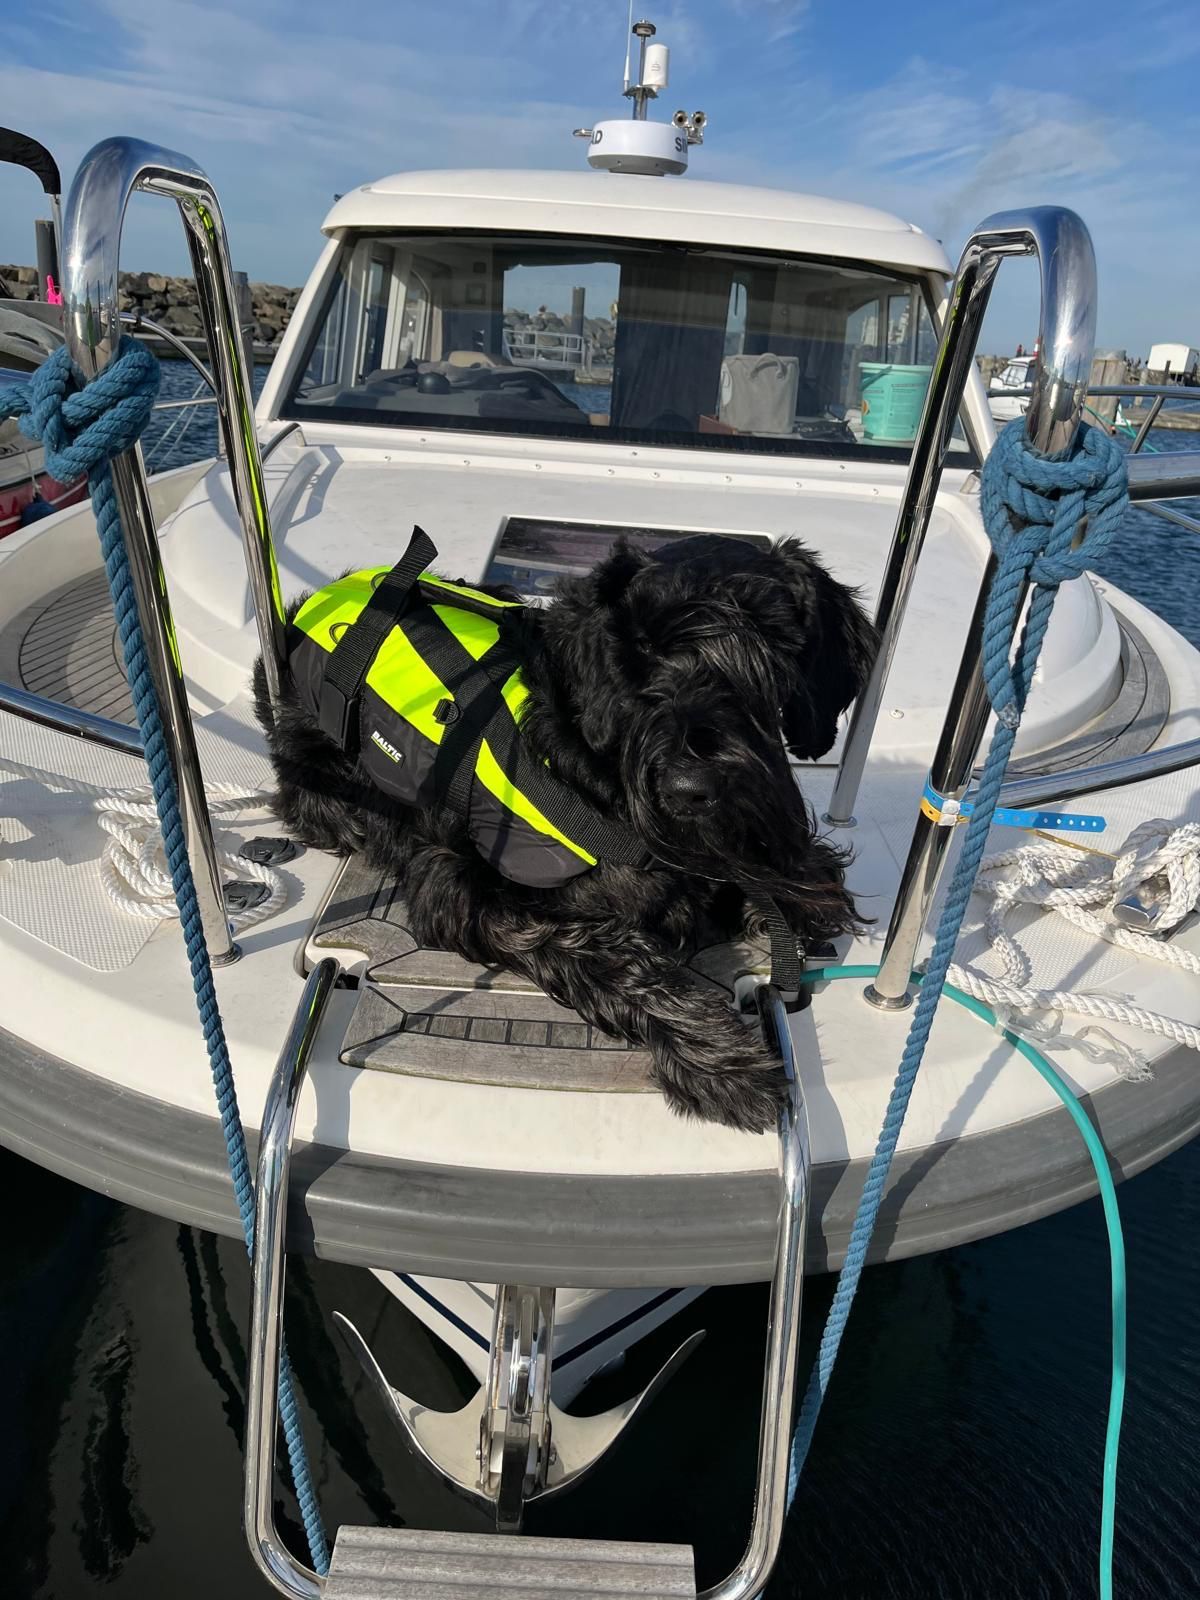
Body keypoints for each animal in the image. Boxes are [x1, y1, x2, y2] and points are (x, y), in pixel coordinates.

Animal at [254, 533, 876, 1133]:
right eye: (640, 650)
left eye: (771, 647)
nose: (691, 788)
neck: (597, 772)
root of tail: (306, 609)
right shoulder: (463, 890)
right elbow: (608, 956)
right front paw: (720, 1058)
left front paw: (795, 892)